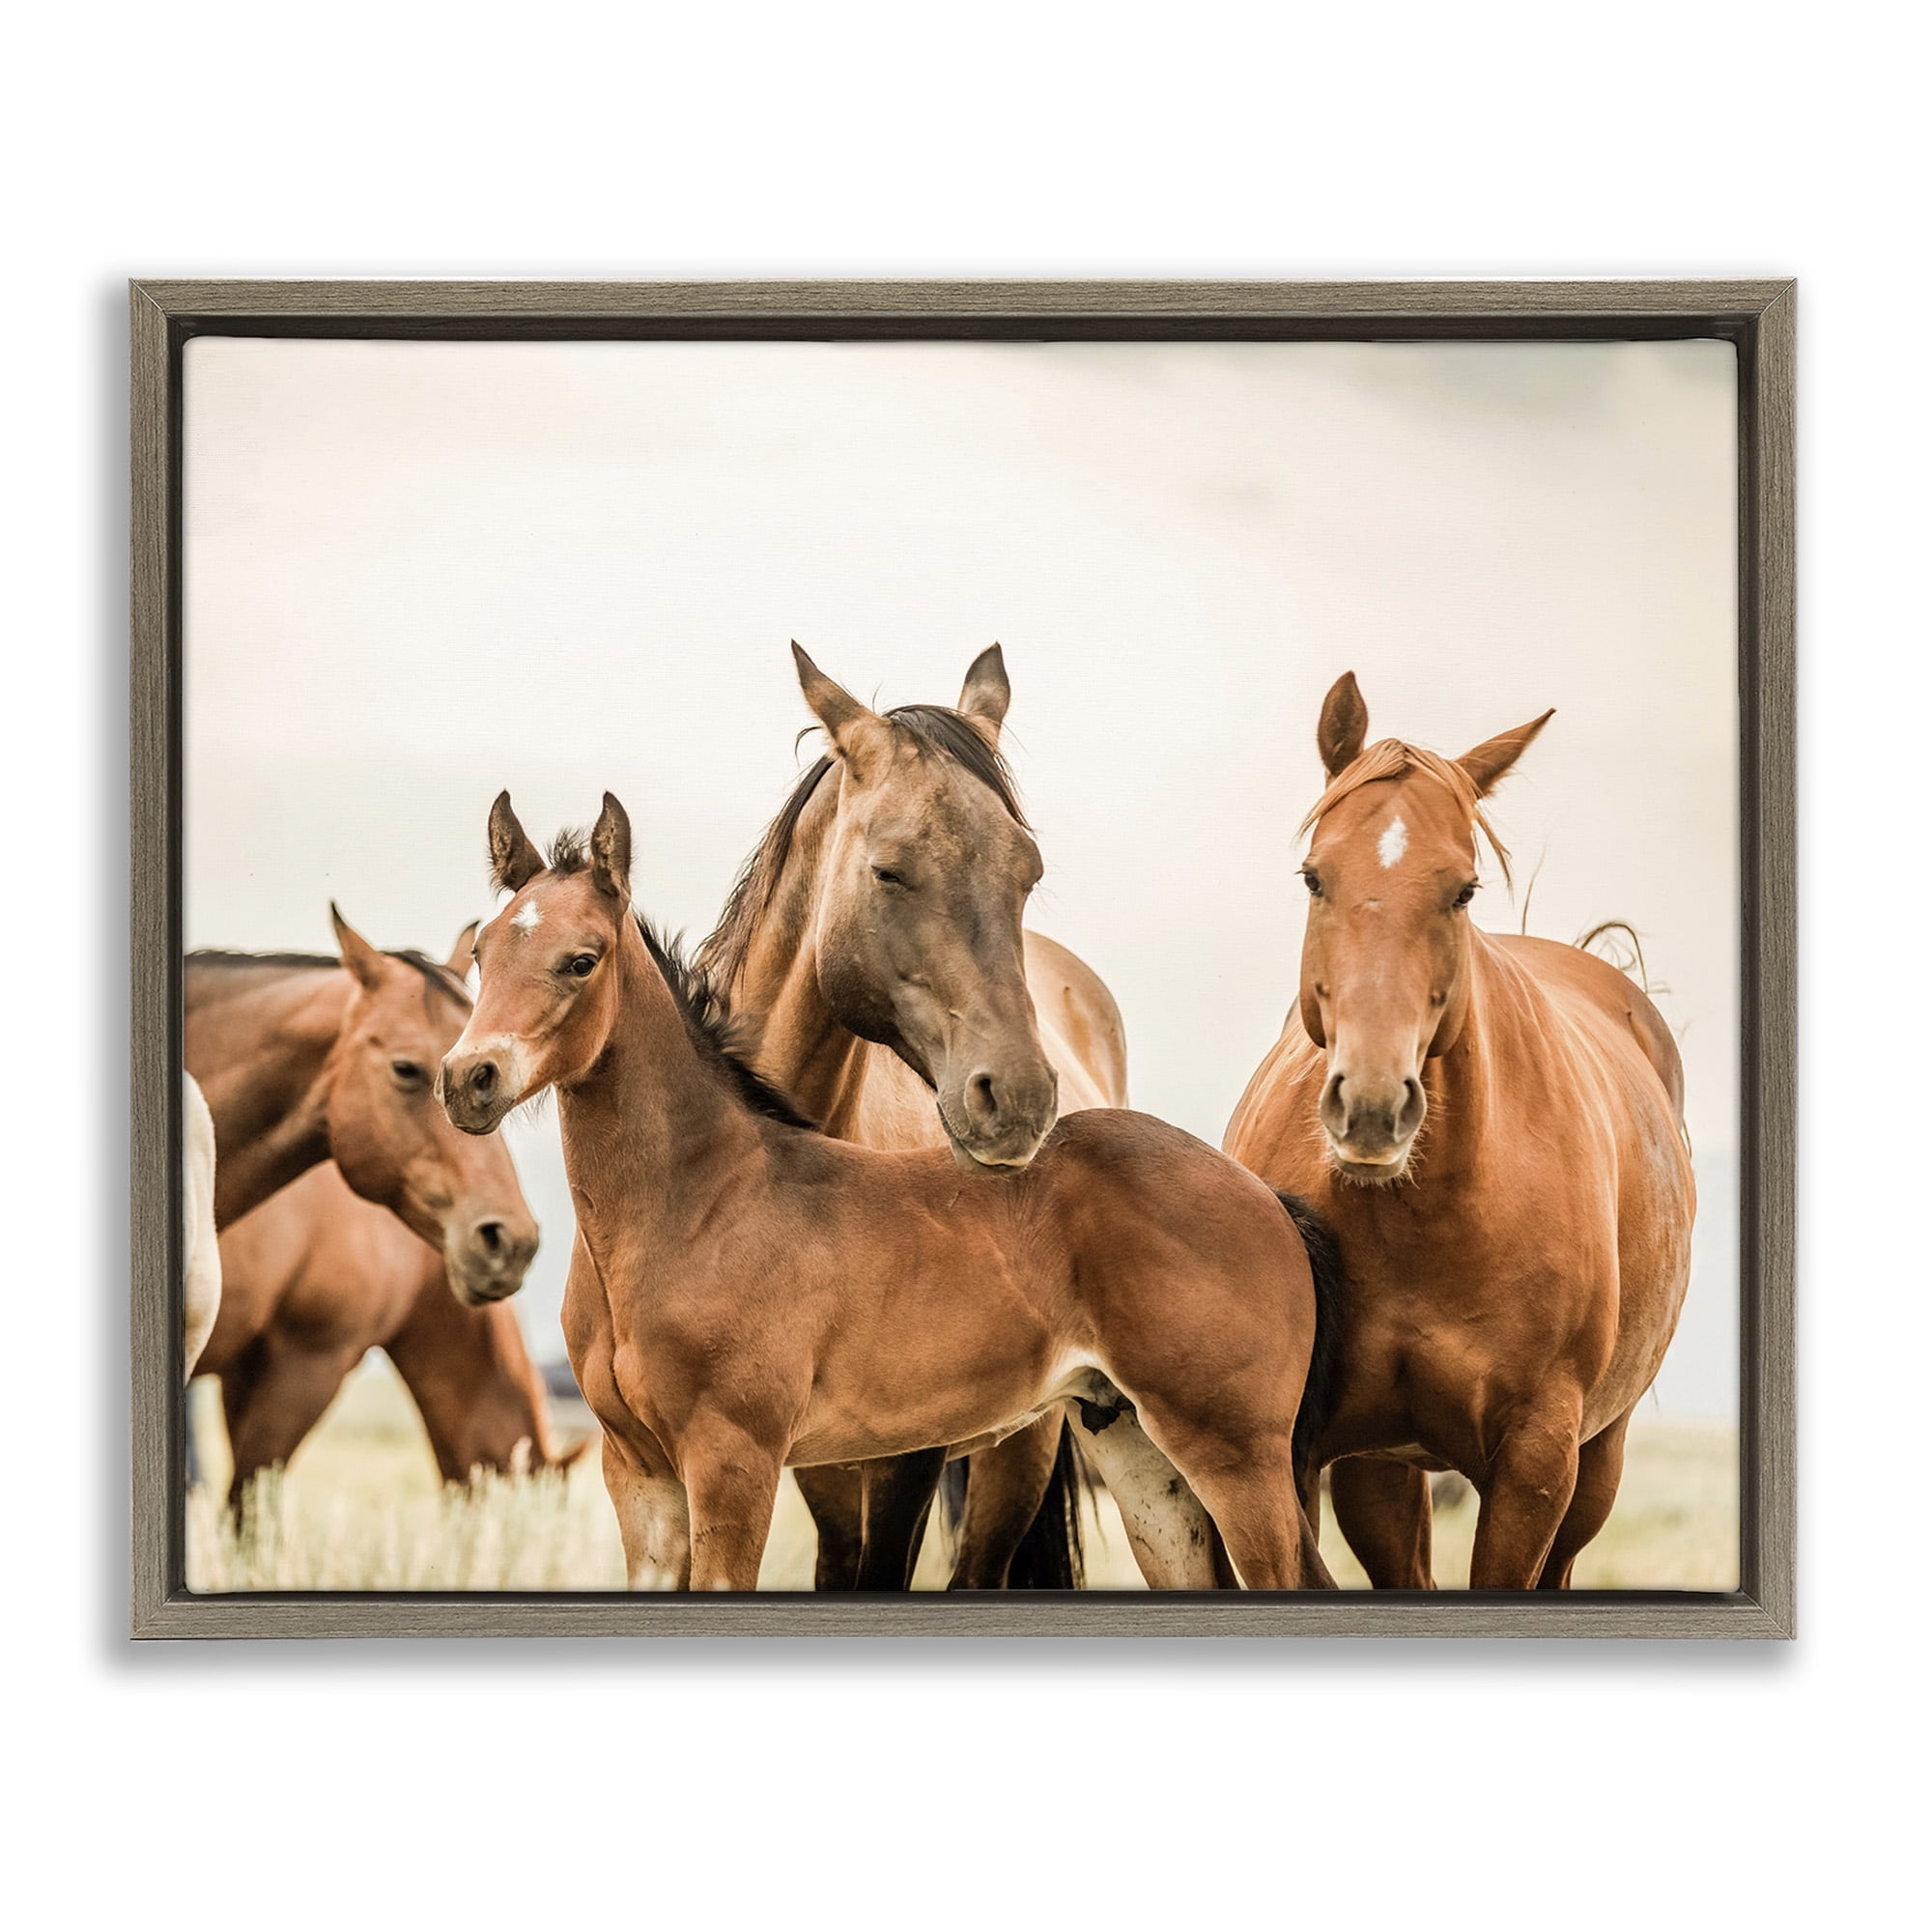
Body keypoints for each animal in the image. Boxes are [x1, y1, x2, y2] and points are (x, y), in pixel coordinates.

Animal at [438, 791, 1339, 1592]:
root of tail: (1264, 1196)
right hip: (1141, 1455)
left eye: (581, 959)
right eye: (482, 955)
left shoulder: (733, 1463)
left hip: (1234, 1454)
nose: (467, 1079)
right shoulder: (639, 1477)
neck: (694, 1205)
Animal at [694, 643, 1129, 1589]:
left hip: (1019, 1449)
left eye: (1028, 872)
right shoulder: (818, 1468)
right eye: (888, 870)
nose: (1019, 1099)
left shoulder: (909, 1460)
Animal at [1223, 673, 1695, 1589]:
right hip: (1383, 1471)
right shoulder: (1297, 1455)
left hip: (1597, 1461)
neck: (1425, 1222)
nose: (1373, 1107)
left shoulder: (1537, 1466)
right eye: (1314, 878)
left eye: (1464, 890)